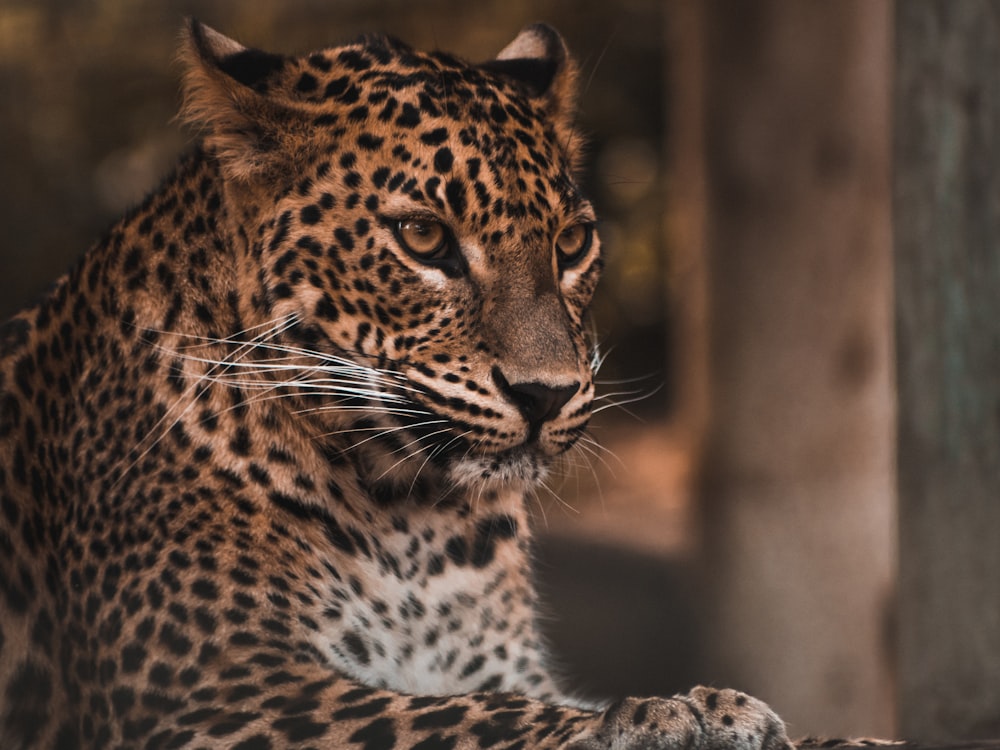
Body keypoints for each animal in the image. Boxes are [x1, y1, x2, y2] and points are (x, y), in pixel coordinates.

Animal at [0, 20, 792, 750]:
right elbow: (457, 715)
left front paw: (702, 706)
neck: (414, 521)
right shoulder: (206, 691)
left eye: (571, 244)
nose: (547, 395)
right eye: (423, 238)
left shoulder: (497, 658)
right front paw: (665, 716)